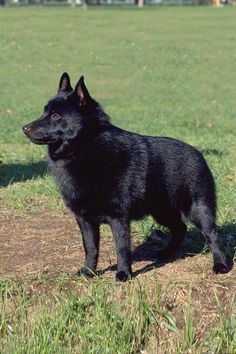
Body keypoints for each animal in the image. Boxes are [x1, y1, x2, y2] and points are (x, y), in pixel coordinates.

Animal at [23, 73, 228, 280]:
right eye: (44, 112)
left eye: (56, 115)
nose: (25, 128)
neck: (86, 147)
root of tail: (198, 154)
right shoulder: (85, 219)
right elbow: (90, 248)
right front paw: (89, 271)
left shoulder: (118, 217)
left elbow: (121, 248)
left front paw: (123, 273)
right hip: (162, 212)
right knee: (180, 229)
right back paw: (167, 253)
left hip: (198, 210)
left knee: (212, 235)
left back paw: (220, 265)